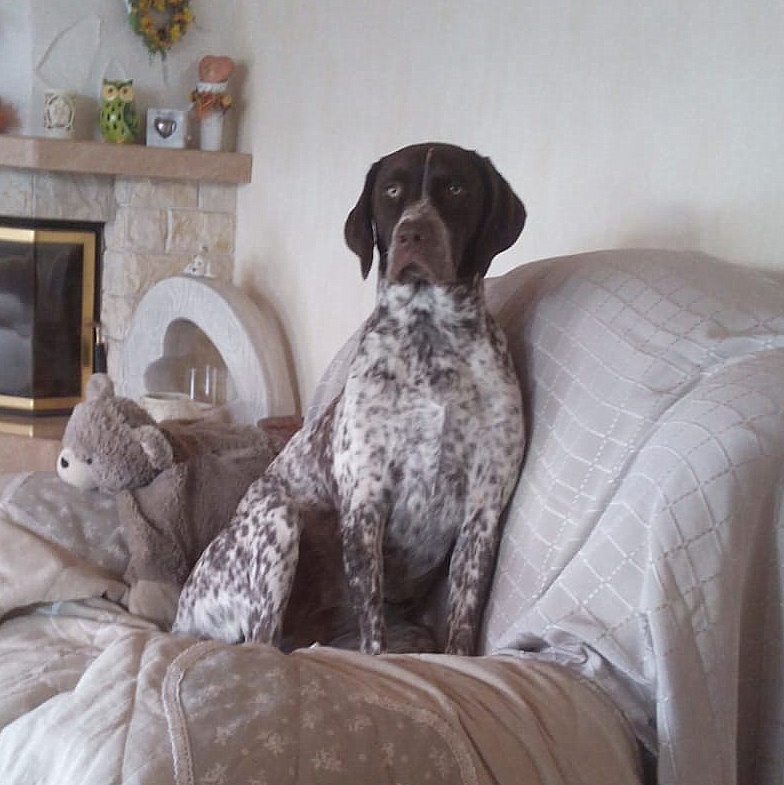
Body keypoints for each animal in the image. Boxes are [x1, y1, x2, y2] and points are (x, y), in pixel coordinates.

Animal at [173, 142, 526, 655]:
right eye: (392, 191)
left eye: (457, 188)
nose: (413, 232)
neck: (430, 340)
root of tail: (180, 616)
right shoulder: (366, 500)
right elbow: (372, 624)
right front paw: (375, 654)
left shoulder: (483, 511)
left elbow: (462, 621)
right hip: (277, 519)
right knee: (261, 640)